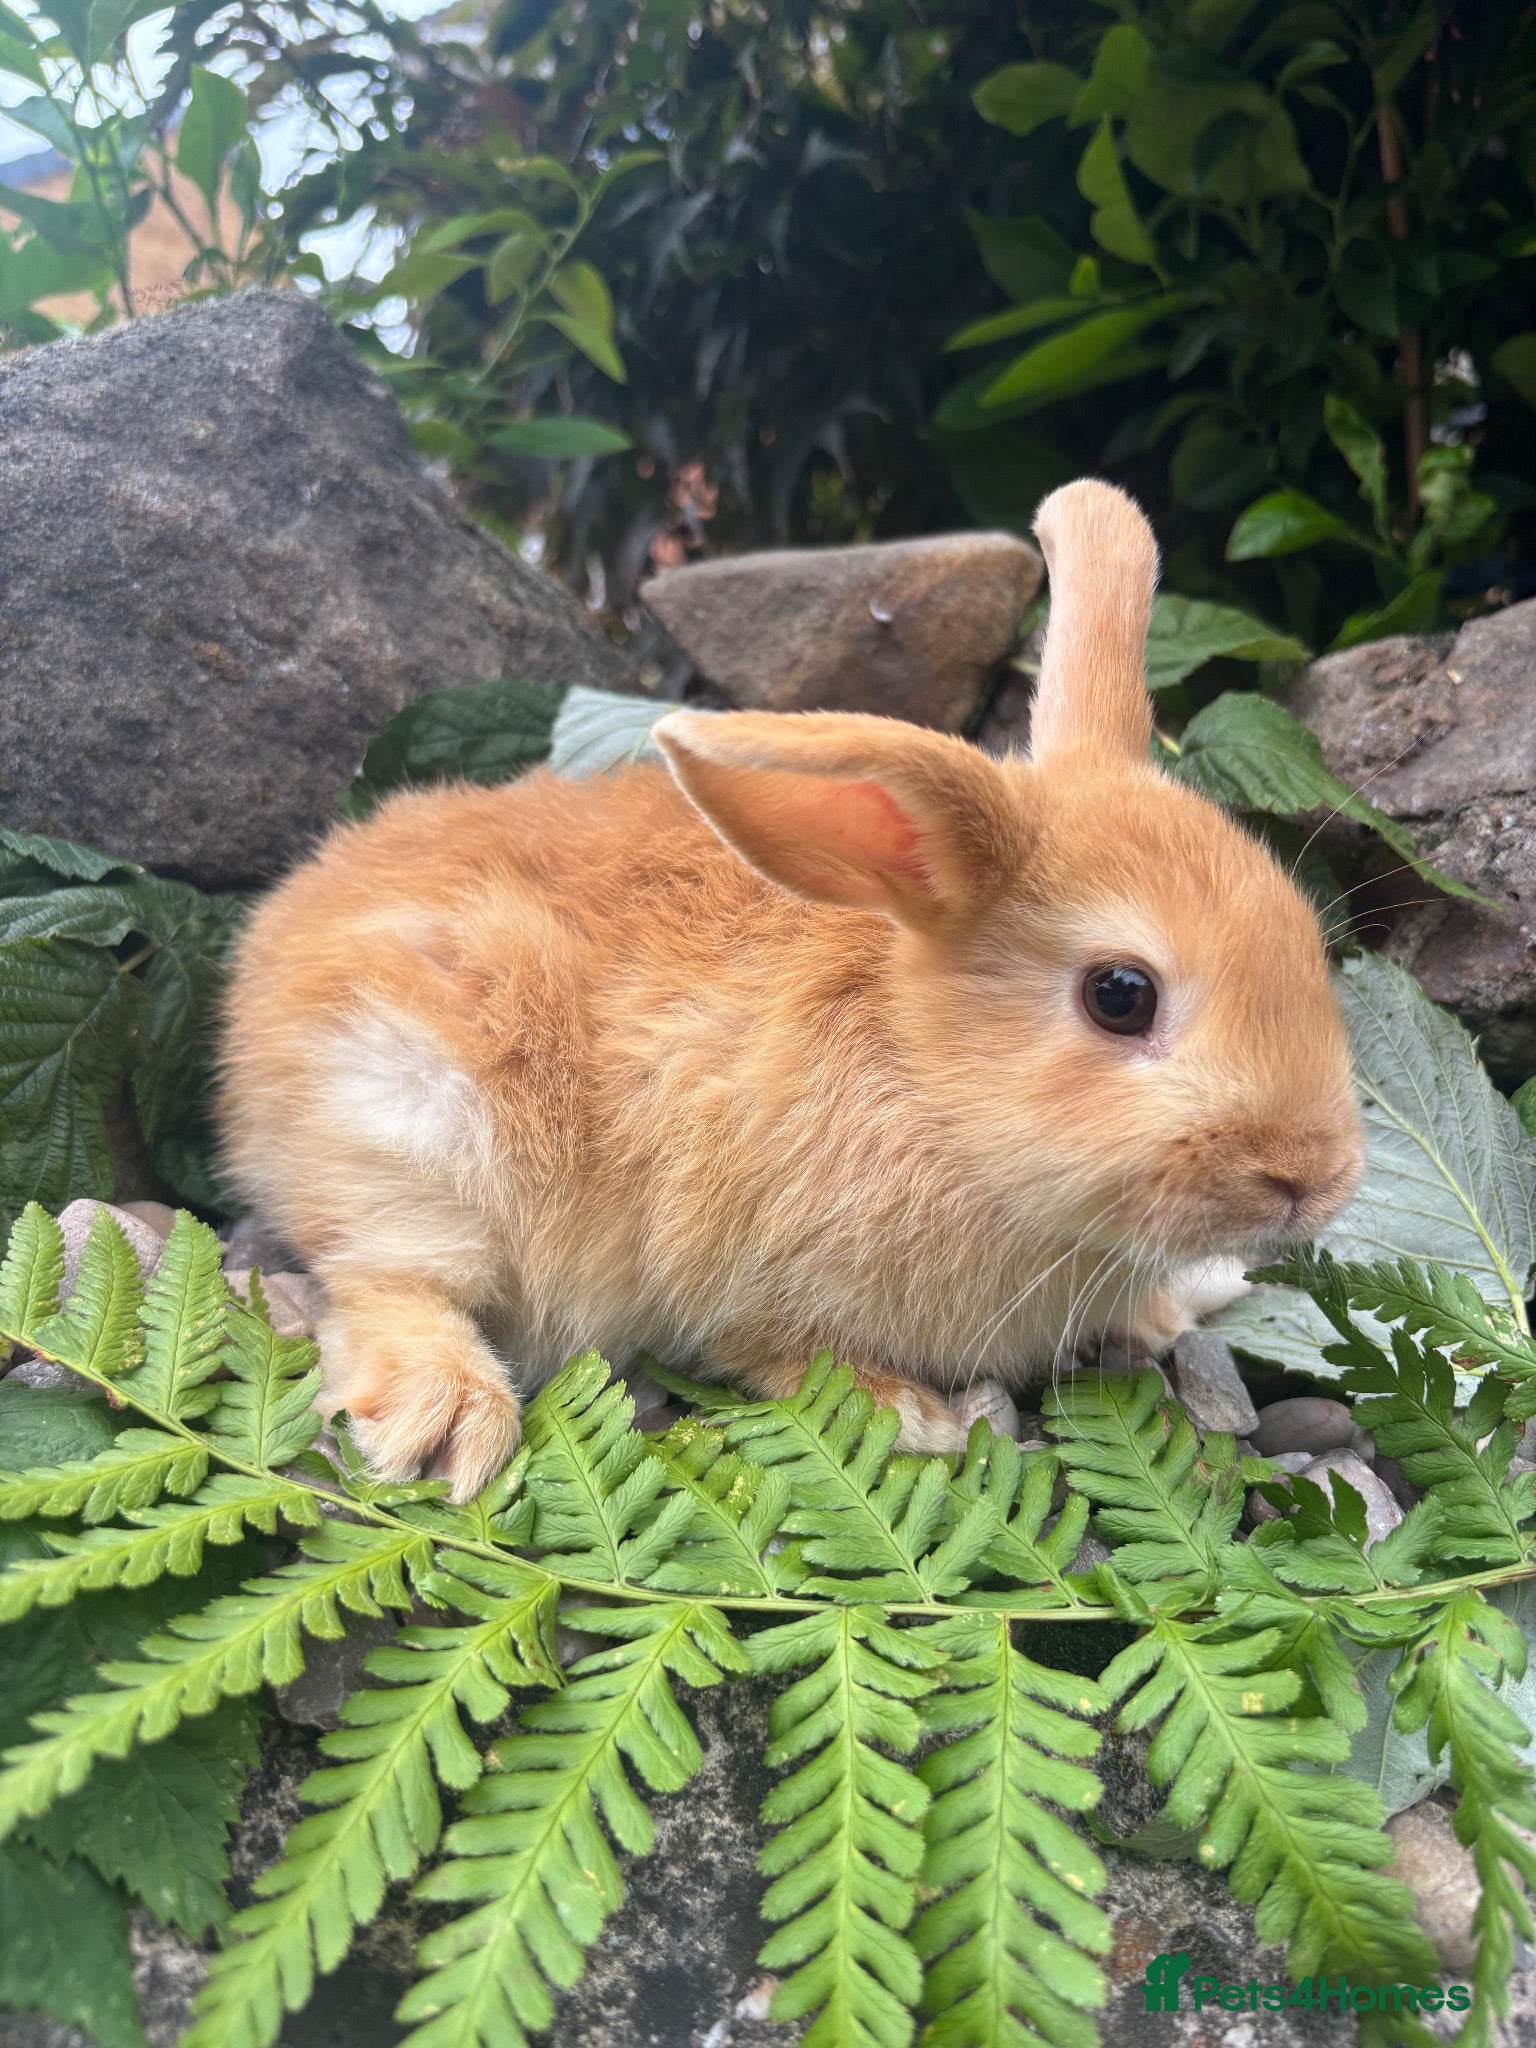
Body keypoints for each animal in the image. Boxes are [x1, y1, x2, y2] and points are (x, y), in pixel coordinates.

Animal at [217, 480, 1362, 1499]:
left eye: (1302, 933)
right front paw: (916, 1415)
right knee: (383, 1278)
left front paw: (1166, 1313)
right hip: (413, 1123)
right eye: (1121, 995)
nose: (1311, 1177)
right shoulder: (739, 1269)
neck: (926, 1081)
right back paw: (448, 1415)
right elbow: (780, 1352)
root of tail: (272, 946)